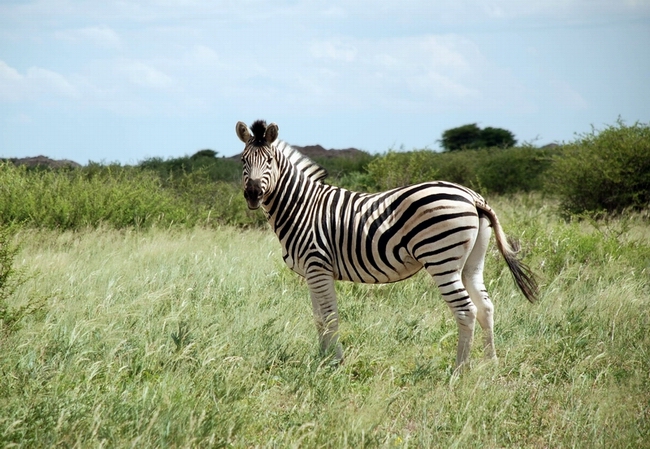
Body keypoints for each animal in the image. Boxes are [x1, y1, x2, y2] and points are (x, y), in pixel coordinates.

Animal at [234, 120, 536, 372]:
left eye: (269, 160)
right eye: (243, 160)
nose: (253, 194)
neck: (301, 206)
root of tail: (472, 197)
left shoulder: (318, 266)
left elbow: (330, 317)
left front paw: (335, 363)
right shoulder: (311, 273)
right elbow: (318, 318)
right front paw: (322, 359)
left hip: (441, 259)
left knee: (466, 310)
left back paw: (459, 370)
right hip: (472, 263)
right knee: (485, 306)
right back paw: (490, 364)